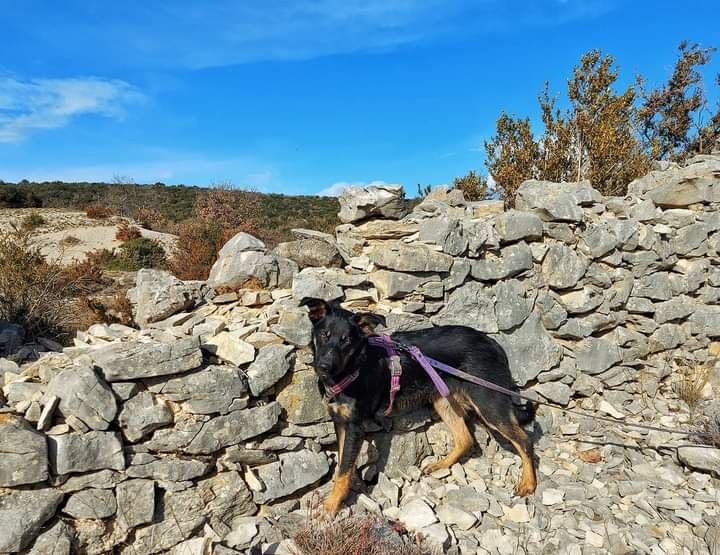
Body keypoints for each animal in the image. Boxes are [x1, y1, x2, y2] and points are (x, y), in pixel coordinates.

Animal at [300, 300, 540, 516]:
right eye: (324, 335)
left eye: (347, 341)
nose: (324, 366)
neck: (352, 367)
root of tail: (493, 342)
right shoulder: (340, 423)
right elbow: (343, 464)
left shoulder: (354, 428)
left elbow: (343, 470)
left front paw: (331, 506)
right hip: (444, 400)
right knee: (465, 439)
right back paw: (440, 465)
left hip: (488, 403)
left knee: (524, 441)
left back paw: (528, 483)